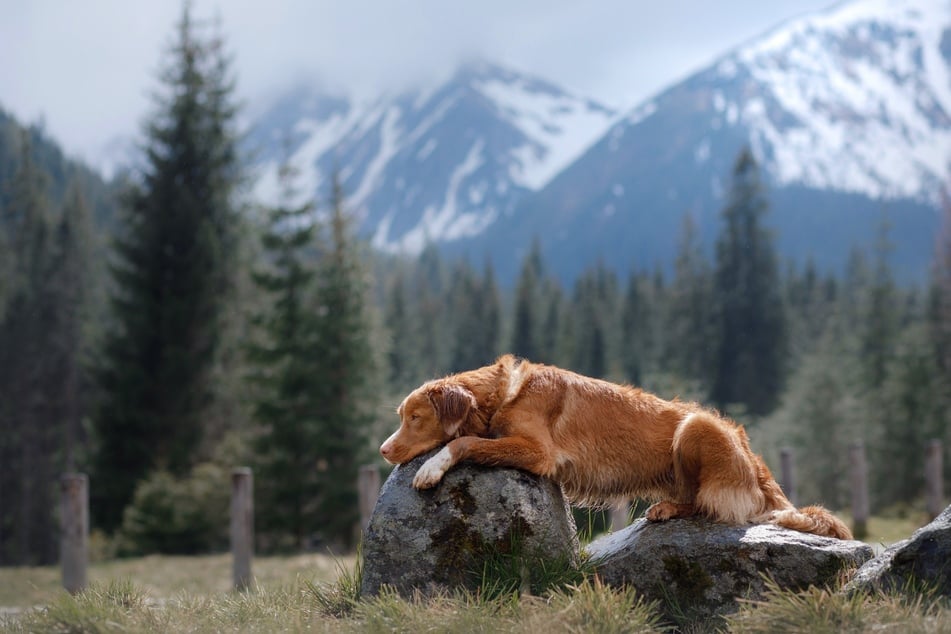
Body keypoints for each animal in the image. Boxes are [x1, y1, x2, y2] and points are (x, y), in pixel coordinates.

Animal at [382, 354, 856, 536]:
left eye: (415, 418)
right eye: (401, 416)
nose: (385, 450)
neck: (503, 394)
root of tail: (758, 464)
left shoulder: (539, 453)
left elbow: (465, 442)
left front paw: (432, 468)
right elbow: (473, 438)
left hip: (696, 426)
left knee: (707, 505)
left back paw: (667, 509)